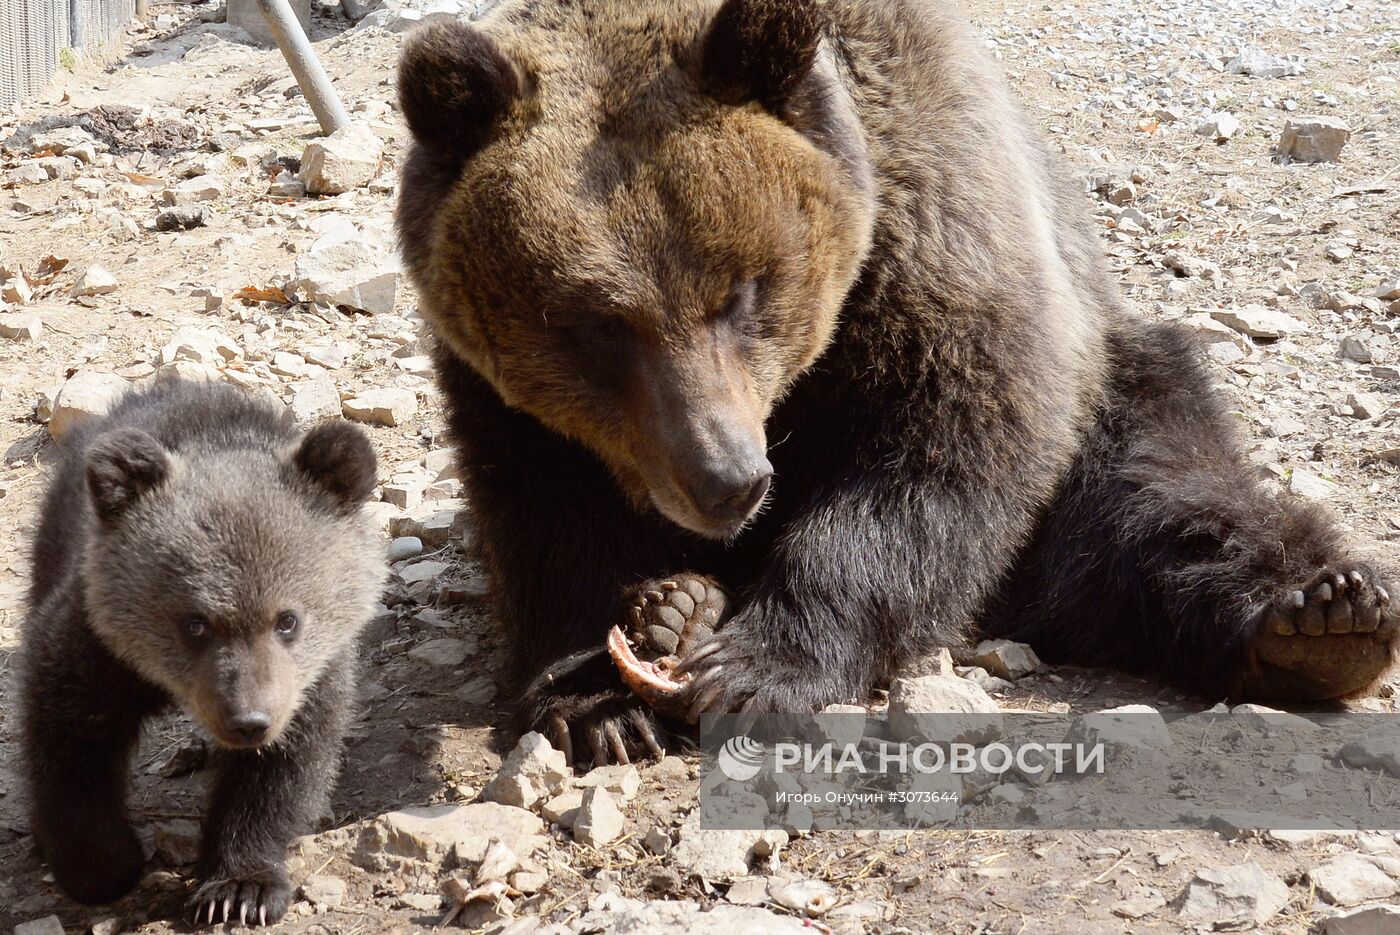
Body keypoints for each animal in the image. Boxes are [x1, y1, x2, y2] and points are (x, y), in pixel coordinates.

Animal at [389, 0, 1394, 767]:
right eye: (597, 323)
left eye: (741, 290)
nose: (728, 480)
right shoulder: (513, 403)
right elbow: (547, 520)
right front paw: (599, 698)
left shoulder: (935, 239)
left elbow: (941, 447)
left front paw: (760, 663)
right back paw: (674, 612)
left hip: (1110, 395)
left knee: (1160, 501)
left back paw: (1320, 617)